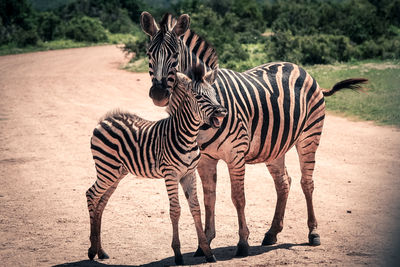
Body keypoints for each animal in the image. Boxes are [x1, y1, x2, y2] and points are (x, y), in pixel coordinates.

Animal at [86, 65, 227, 266]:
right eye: (199, 97)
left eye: (214, 94)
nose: (222, 112)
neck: (188, 136)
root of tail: (105, 120)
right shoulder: (171, 175)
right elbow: (175, 210)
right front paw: (178, 254)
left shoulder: (189, 174)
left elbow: (196, 208)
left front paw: (207, 252)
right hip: (106, 169)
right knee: (91, 194)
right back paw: (91, 250)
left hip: (116, 173)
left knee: (101, 202)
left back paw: (101, 251)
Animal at [140, 12, 366, 258]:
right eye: (149, 54)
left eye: (175, 55)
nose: (159, 94)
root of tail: (299, 67)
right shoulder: (205, 159)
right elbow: (209, 197)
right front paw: (205, 243)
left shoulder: (235, 155)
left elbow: (238, 197)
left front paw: (242, 243)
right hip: (275, 145)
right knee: (284, 182)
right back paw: (272, 233)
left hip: (309, 137)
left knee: (307, 182)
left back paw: (313, 233)